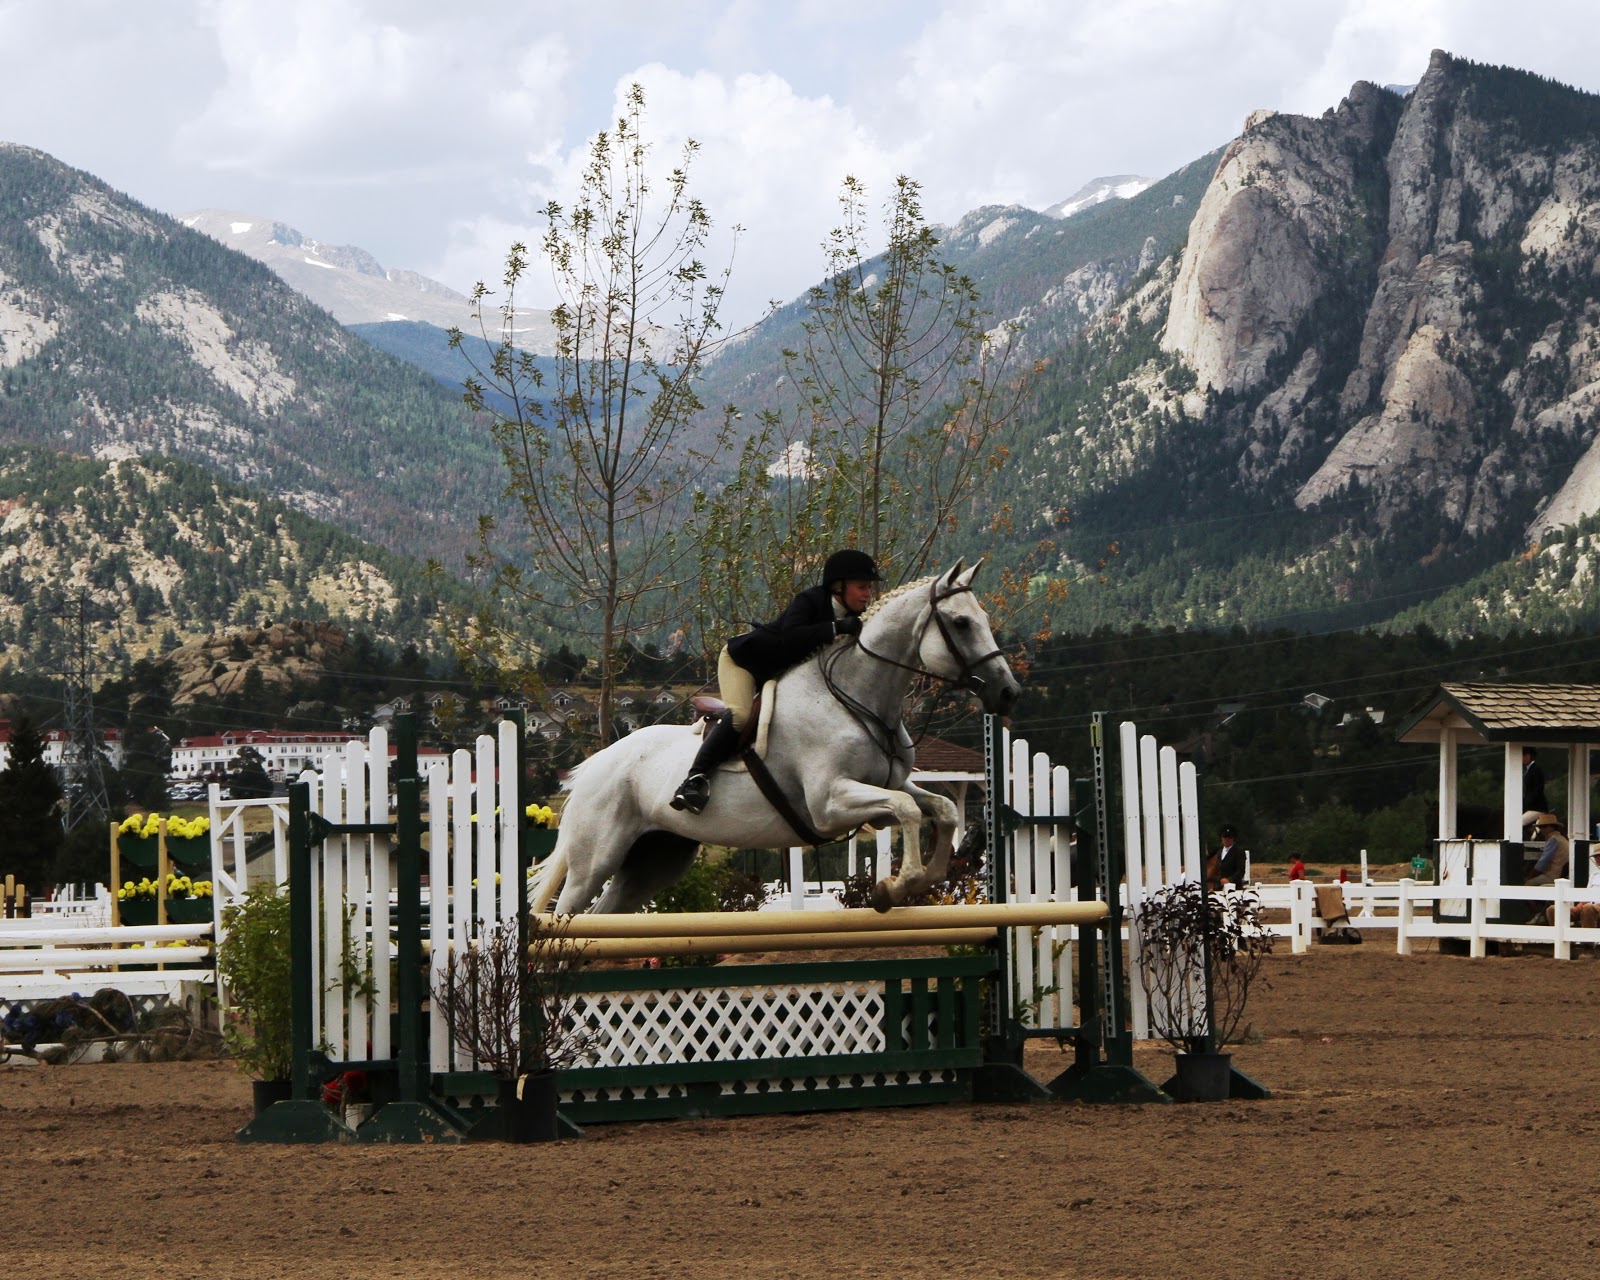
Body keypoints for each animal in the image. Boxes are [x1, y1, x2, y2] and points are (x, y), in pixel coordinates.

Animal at [531, 561, 1021, 915]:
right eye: (961, 623)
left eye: (983, 619)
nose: (1008, 693)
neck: (855, 698)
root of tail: (595, 765)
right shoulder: (829, 805)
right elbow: (906, 811)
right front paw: (895, 888)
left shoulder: (888, 785)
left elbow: (938, 809)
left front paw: (925, 877)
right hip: (595, 860)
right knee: (565, 916)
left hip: (654, 861)